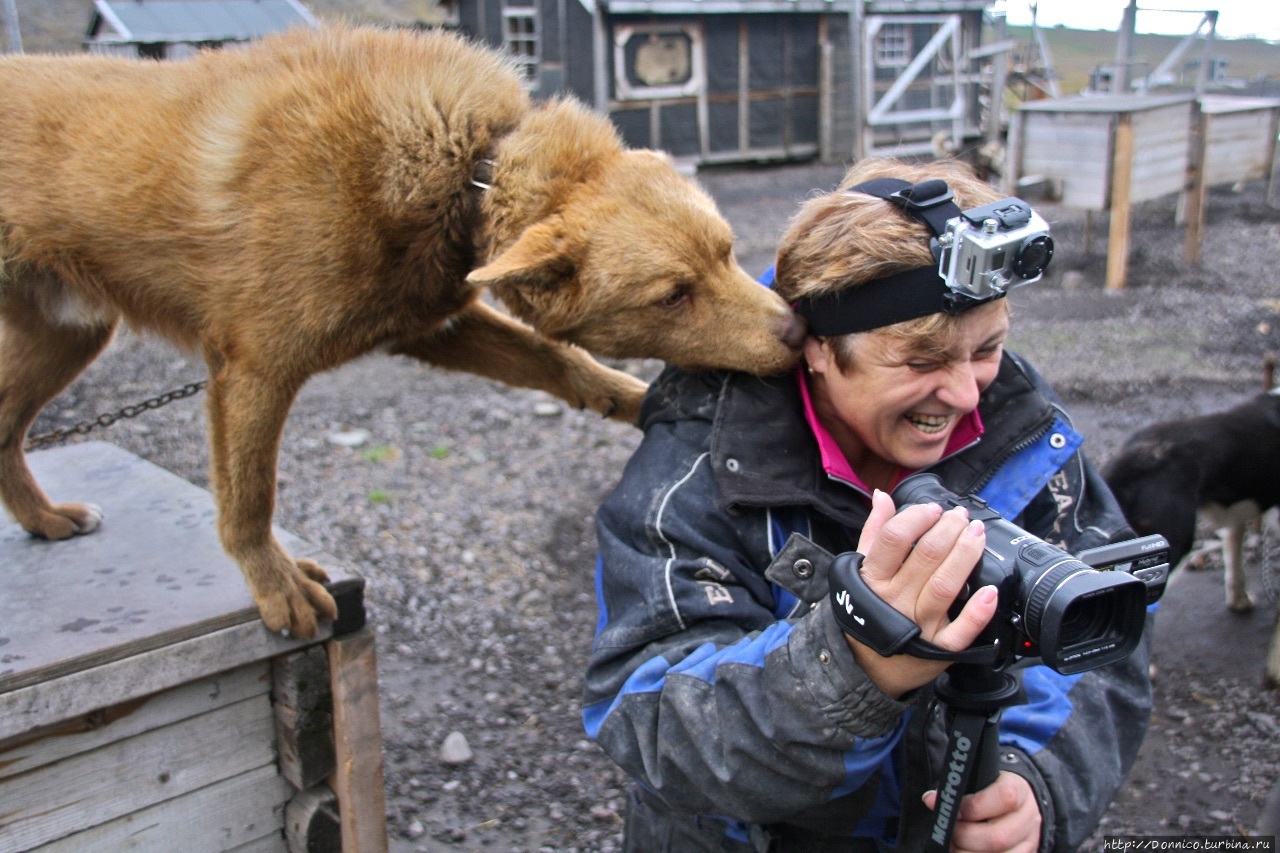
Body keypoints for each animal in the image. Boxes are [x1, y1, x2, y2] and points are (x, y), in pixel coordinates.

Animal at [0, 26, 798, 635]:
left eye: (727, 251)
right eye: (673, 296)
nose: (795, 332)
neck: (466, 164)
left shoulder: (428, 323)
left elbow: (561, 363)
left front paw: (638, 401)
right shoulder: (252, 370)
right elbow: (247, 501)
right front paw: (274, 584)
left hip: (68, 337)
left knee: (5, 431)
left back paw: (43, 519)